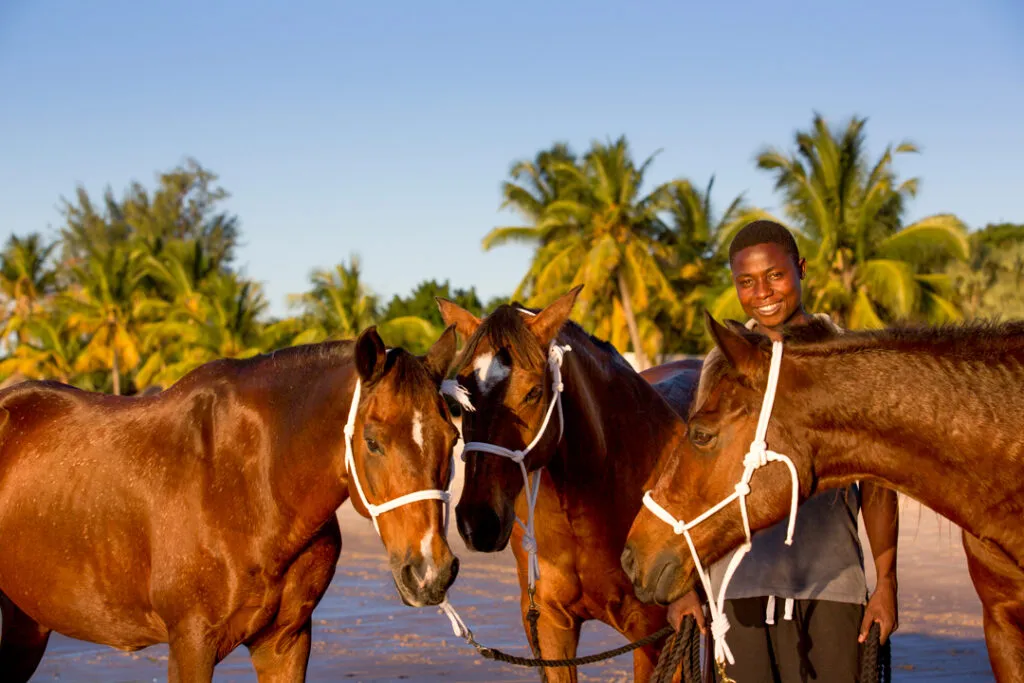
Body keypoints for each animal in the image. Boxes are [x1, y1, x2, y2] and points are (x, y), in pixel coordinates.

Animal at [0, 325, 461, 682]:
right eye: (372, 440)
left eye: (453, 437)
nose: (430, 571)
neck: (253, 489)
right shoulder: (191, 644)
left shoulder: (286, 643)